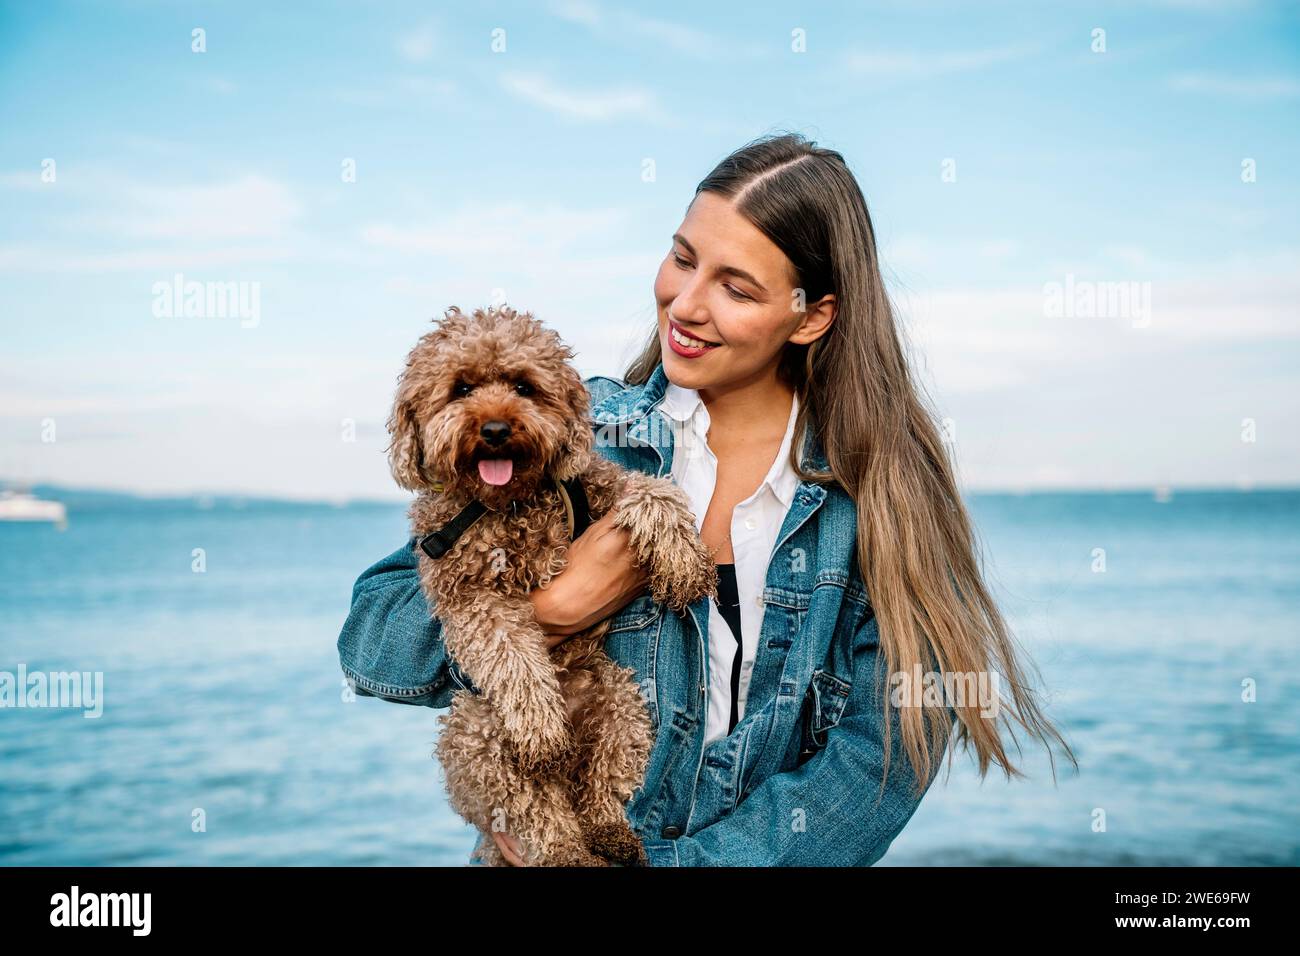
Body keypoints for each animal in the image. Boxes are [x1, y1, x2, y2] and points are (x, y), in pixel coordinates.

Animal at [387, 304, 712, 868]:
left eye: (524, 386)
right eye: (460, 388)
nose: (495, 428)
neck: (509, 503)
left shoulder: (600, 483)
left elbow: (654, 490)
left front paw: (684, 558)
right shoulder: (469, 595)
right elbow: (512, 654)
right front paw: (541, 724)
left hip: (620, 704)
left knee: (599, 789)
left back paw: (611, 834)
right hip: (478, 734)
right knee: (543, 811)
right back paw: (568, 842)